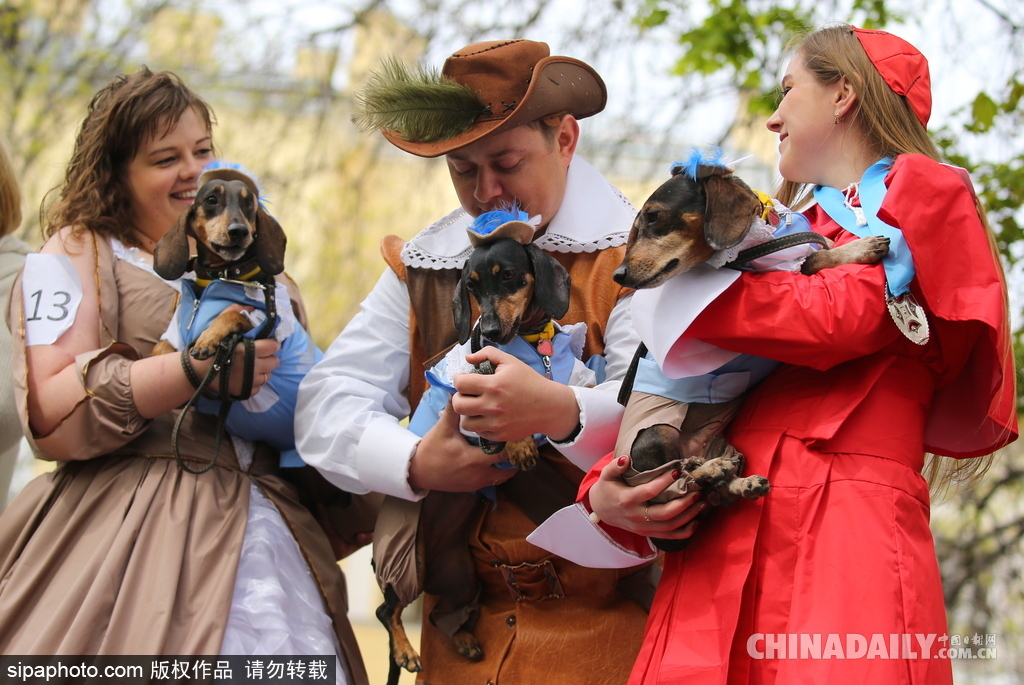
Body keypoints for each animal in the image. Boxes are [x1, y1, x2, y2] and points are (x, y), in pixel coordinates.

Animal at [378, 225, 577, 683]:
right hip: (405, 566)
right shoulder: (472, 393)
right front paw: (519, 444)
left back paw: (465, 640)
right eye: (470, 287)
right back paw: (405, 651)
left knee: (440, 615)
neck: (529, 340)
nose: (488, 331)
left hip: (463, 580)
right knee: (386, 611)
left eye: (509, 276)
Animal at [606, 157, 888, 548]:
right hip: (654, 437)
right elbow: (815, 260)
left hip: (724, 446)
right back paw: (708, 469)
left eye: (654, 217)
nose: (618, 276)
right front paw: (860, 248)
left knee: (712, 492)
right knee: (681, 480)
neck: (757, 243)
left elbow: (816, 252)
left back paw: (740, 481)